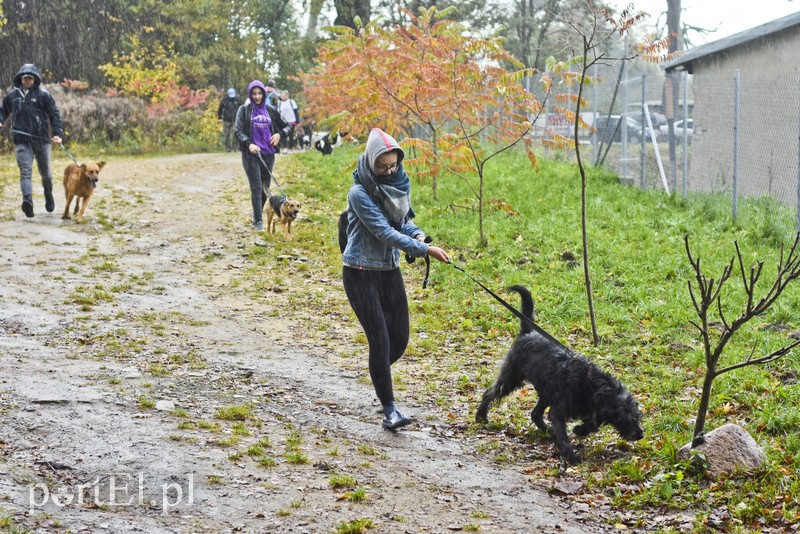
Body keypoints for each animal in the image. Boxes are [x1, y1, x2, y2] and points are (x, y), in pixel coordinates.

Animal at [476, 284, 644, 464]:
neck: (591, 384)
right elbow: (563, 435)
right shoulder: (558, 412)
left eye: (637, 415)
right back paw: (481, 416)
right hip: (511, 377)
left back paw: (546, 430)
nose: (641, 434)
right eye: (626, 417)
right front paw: (571, 455)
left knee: (535, 414)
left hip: (545, 392)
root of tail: (527, 332)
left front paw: (580, 430)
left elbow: (592, 423)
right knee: (490, 393)